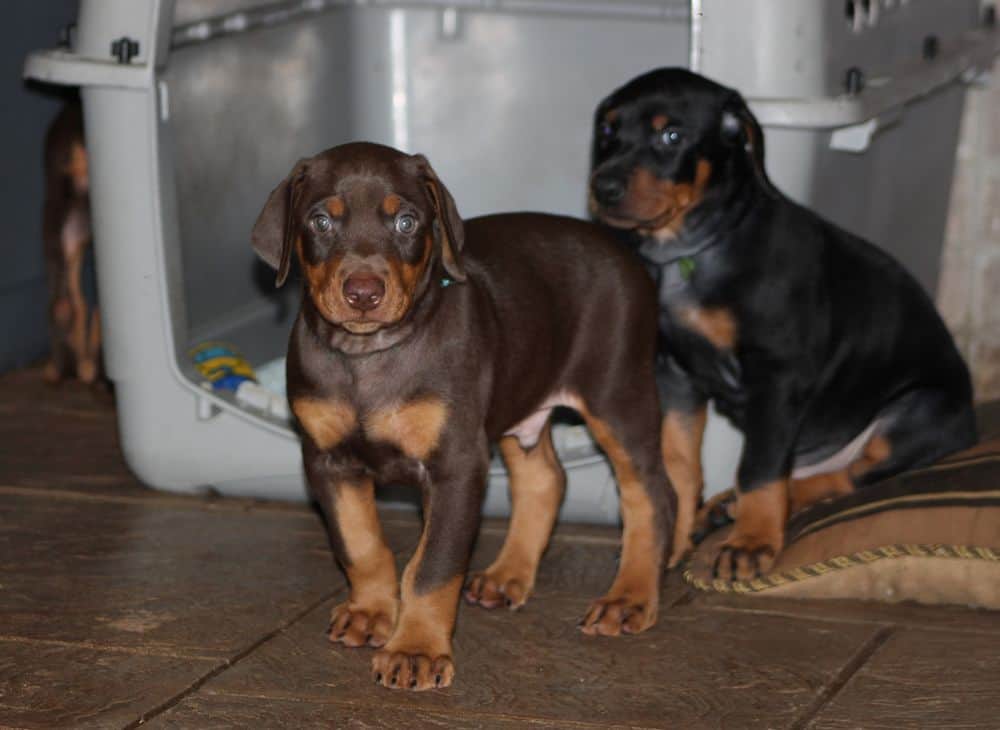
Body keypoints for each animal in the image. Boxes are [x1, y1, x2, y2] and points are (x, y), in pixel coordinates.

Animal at [250, 141, 676, 688]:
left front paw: (416, 650)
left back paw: (630, 597)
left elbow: (432, 566)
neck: (368, 356)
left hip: (617, 392)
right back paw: (507, 576)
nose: (363, 293)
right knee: (545, 480)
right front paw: (371, 611)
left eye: (407, 221)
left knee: (652, 494)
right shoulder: (327, 461)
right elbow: (360, 543)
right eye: (321, 221)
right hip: (520, 399)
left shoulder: (456, 465)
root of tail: (620, 248)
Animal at [584, 69, 976, 580]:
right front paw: (670, 539)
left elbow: (760, 468)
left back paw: (751, 509)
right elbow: (679, 464)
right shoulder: (675, 374)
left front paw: (751, 543)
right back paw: (722, 507)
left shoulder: (776, 374)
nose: (603, 187)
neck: (691, 251)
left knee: (846, 475)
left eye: (672, 136)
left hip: (917, 413)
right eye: (608, 130)